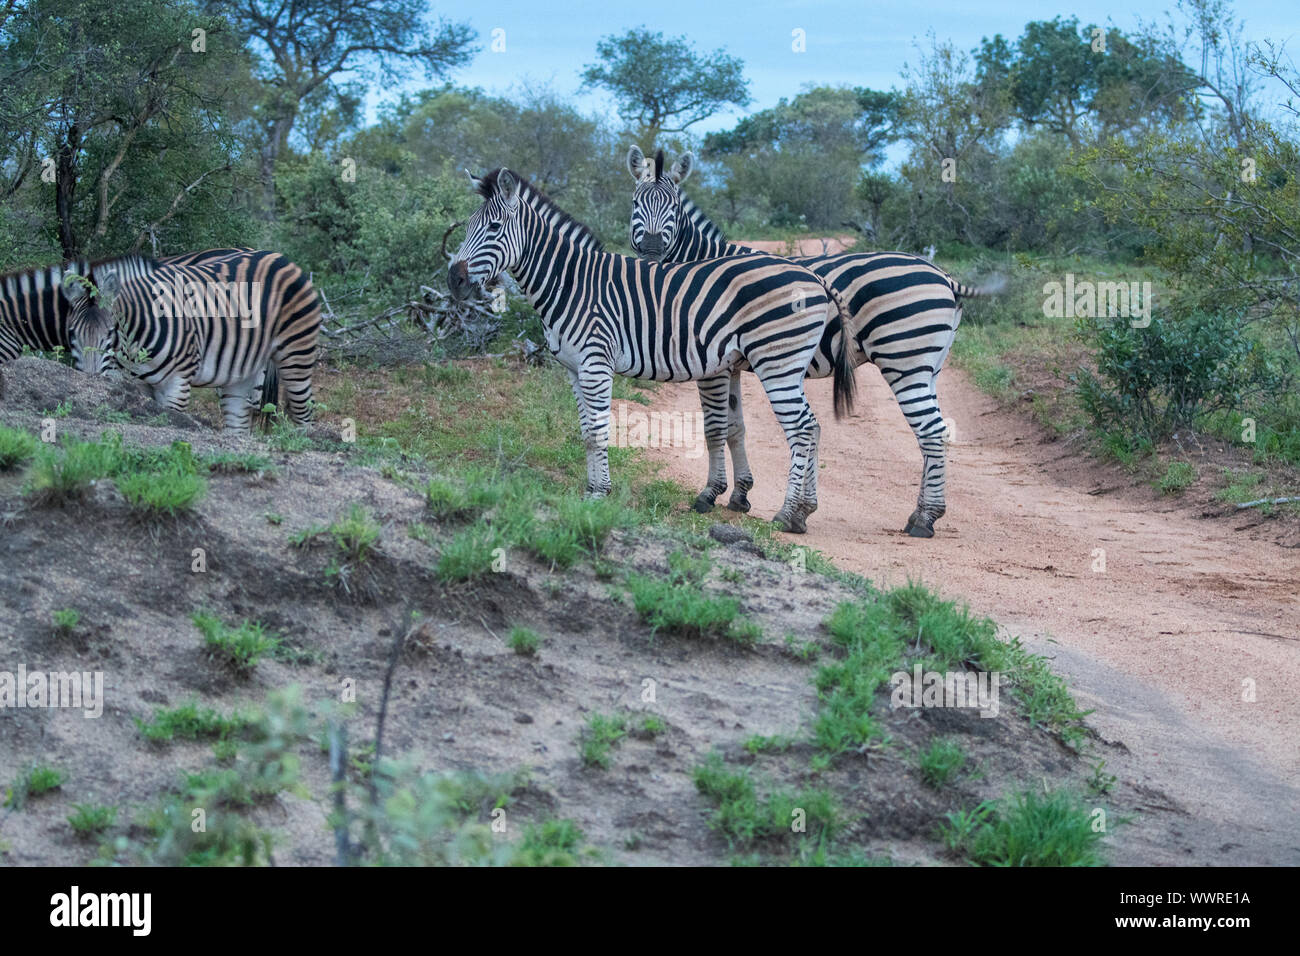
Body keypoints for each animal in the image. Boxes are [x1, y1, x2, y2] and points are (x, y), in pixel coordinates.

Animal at [59, 248, 325, 431]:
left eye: (110, 333)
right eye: (72, 334)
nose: (90, 384)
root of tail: (281, 257)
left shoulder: (178, 381)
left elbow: (171, 422)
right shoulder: (139, 384)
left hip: (296, 353)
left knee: (304, 408)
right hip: (244, 369)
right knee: (239, 422)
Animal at [452, 167, 857, 535]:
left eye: (493, 228)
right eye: (468, 226)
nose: (453, 279)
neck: (570, 283)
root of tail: (813, 277)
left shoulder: (595, 364)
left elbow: (598, 431)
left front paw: (599, 494)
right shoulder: (573, 369)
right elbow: (585, 432)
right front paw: (589, 491)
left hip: (777, 361)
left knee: (802, 429)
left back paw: (788, 515)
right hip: (785, 364)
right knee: (813, 427)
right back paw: (804, 512)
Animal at [624, 147, 998, 538]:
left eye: (673, 205)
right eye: (636, 202)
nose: (651, 252)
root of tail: (944, 275)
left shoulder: (712, 363)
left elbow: (715, 427)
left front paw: (710, 493)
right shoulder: (732, 364)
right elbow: (736, 426)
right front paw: (740, 495)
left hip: (905, 361)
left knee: (932, 430)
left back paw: (925, 519)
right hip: (930, 366)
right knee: (932, 432)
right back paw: (918, 514)